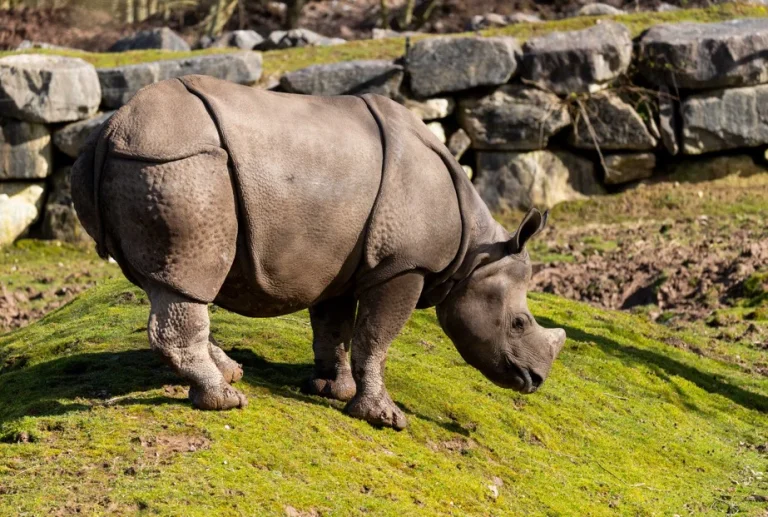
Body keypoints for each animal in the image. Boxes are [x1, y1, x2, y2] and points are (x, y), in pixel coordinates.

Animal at [71, 75, 566, 430]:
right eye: (519, 323)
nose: (536, 381)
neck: (474, 254)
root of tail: (110, 131)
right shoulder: (403, 266)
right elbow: (376, 338)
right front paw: (384, 418)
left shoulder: (342, 263)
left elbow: (336, 329)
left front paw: (332, 390)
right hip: (176, 165)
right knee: (188, 280)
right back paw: (226, 401)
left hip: (155, 167)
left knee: (175, 283)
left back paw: (231, 374)